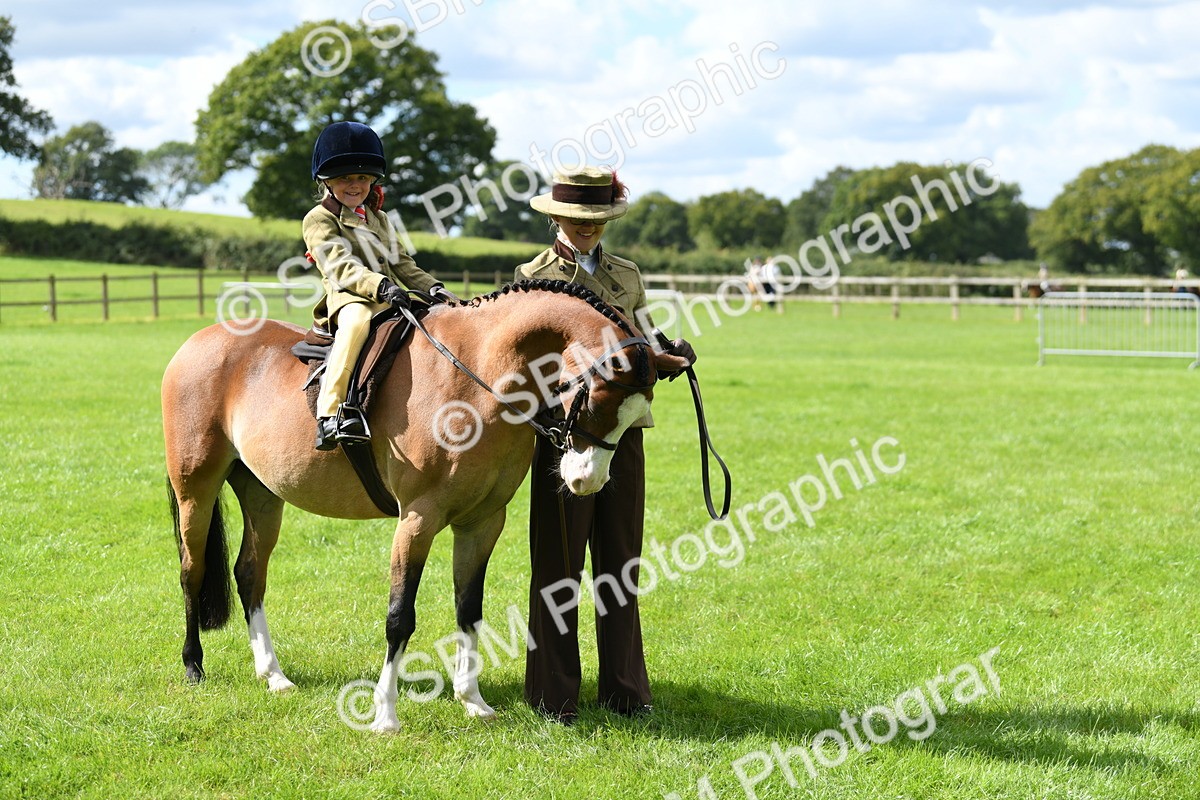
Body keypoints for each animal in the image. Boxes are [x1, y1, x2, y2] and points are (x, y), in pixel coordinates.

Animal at [162, 280, 688, 731]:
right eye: (593, 401)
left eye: (637, 417)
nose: (586, 480)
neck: (476, 375)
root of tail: (197, 343)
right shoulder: (416, 520)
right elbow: (400, 617)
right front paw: (385, 715)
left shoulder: (481, 524)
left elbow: (469, 609)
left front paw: (472, 701)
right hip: (196, 490)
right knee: (191, 569)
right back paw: (193, 665)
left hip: (263, 495)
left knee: (250, 573)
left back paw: (273, 674)